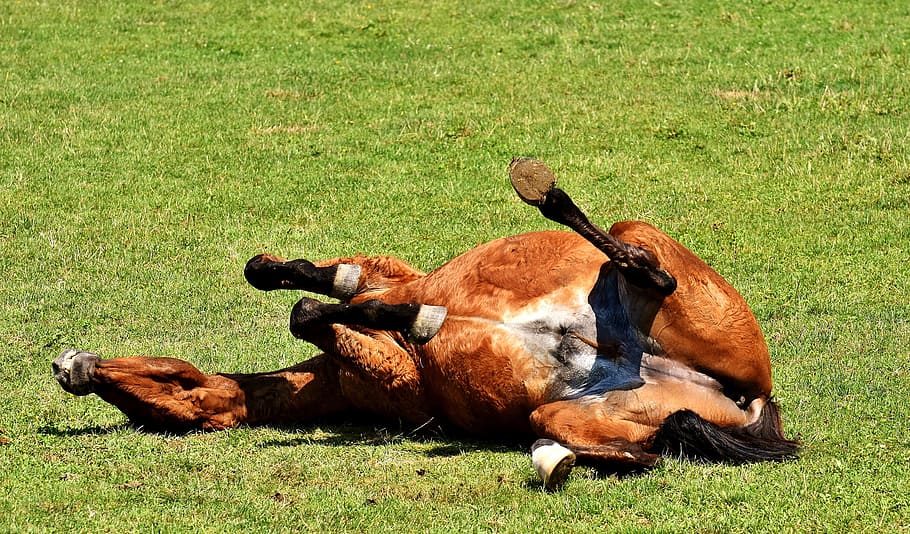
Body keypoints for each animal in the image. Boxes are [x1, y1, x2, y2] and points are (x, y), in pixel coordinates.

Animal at [52, 159, 798, 489]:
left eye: (163, 390)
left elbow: (316, 299)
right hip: (572, 412)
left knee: (646, 266)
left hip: (640, 235)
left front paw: (385, 311)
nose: (71, 368)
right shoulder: (389, 311)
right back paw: (552, 460)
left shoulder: (392, 295)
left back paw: (546, 197)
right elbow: (311, 290)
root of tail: (756, 397)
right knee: (641, 452)